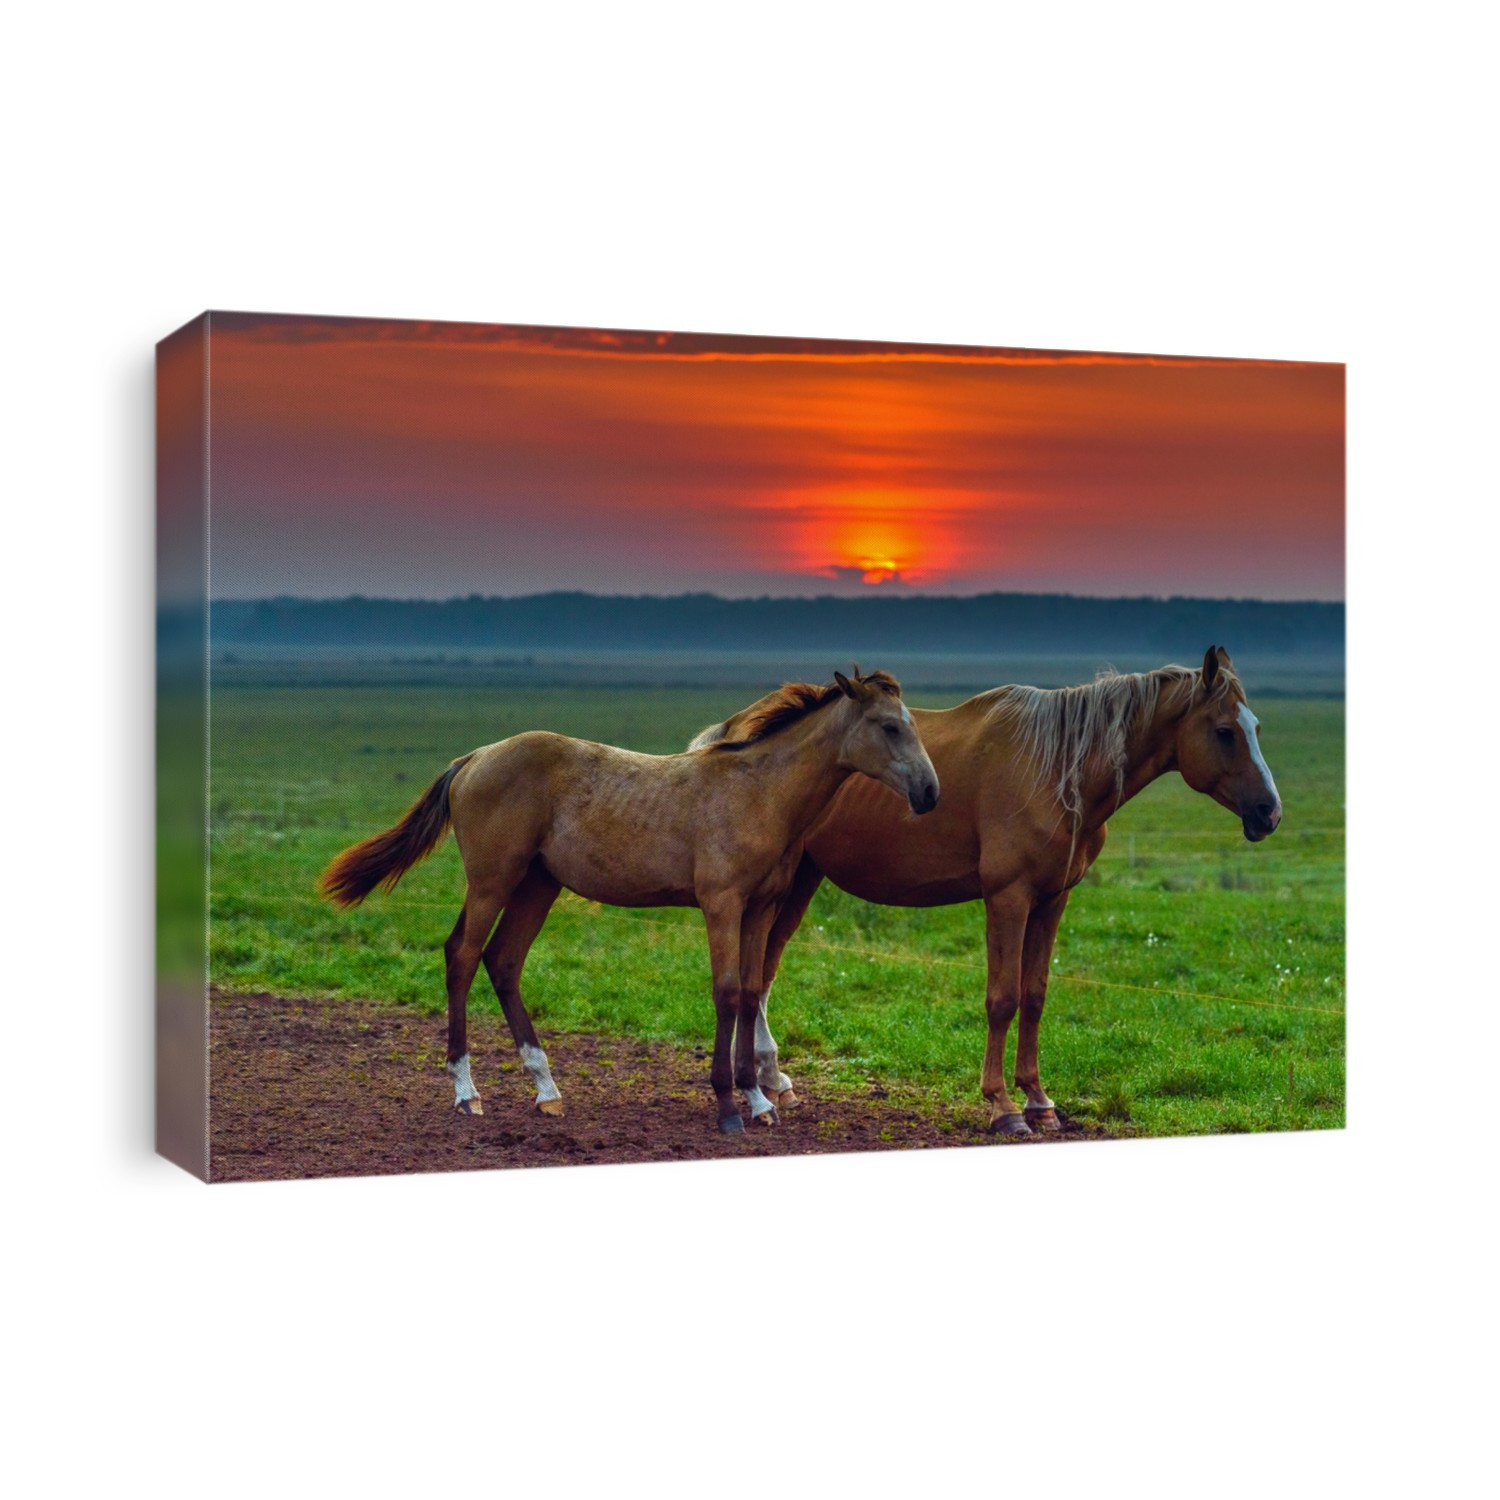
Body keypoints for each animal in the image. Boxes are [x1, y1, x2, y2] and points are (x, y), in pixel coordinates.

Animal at [320, 669, 940, 1134]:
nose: (930, 792)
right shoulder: (722, 905)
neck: (758, 792)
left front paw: (759, 1101)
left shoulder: (760, 910)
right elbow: (727, 993)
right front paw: (728, 1107)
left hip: (539, 885)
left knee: (504, 962)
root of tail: (473, 759)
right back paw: (467, 1092)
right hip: (494, 881)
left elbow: (749, 993)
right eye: (889, 727)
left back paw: (547, 1089)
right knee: (463, 957)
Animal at [688, 646, 1282, 1134]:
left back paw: (772, 1083)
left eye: (1256, 726)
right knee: (758, 977)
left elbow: (1035, 996)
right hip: (784, 885)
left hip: (801, 881)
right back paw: (760, 1086)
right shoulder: (1008, 898)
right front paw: (1003, 1105)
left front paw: (1040, 1100)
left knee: (764, 973)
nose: (1269, 812)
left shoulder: (1052, 901)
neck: (1058, 770)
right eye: (1225, 731)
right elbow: (1002, 999)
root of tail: (736, 726)